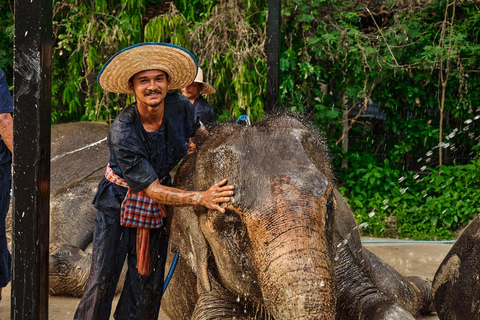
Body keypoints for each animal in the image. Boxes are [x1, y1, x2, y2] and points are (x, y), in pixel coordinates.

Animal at [160, 115, 432, 320]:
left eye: (329, 204)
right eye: (229, 222)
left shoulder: (338, 246)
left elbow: (380, 302)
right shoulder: (207, 274)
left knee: (401, 291)